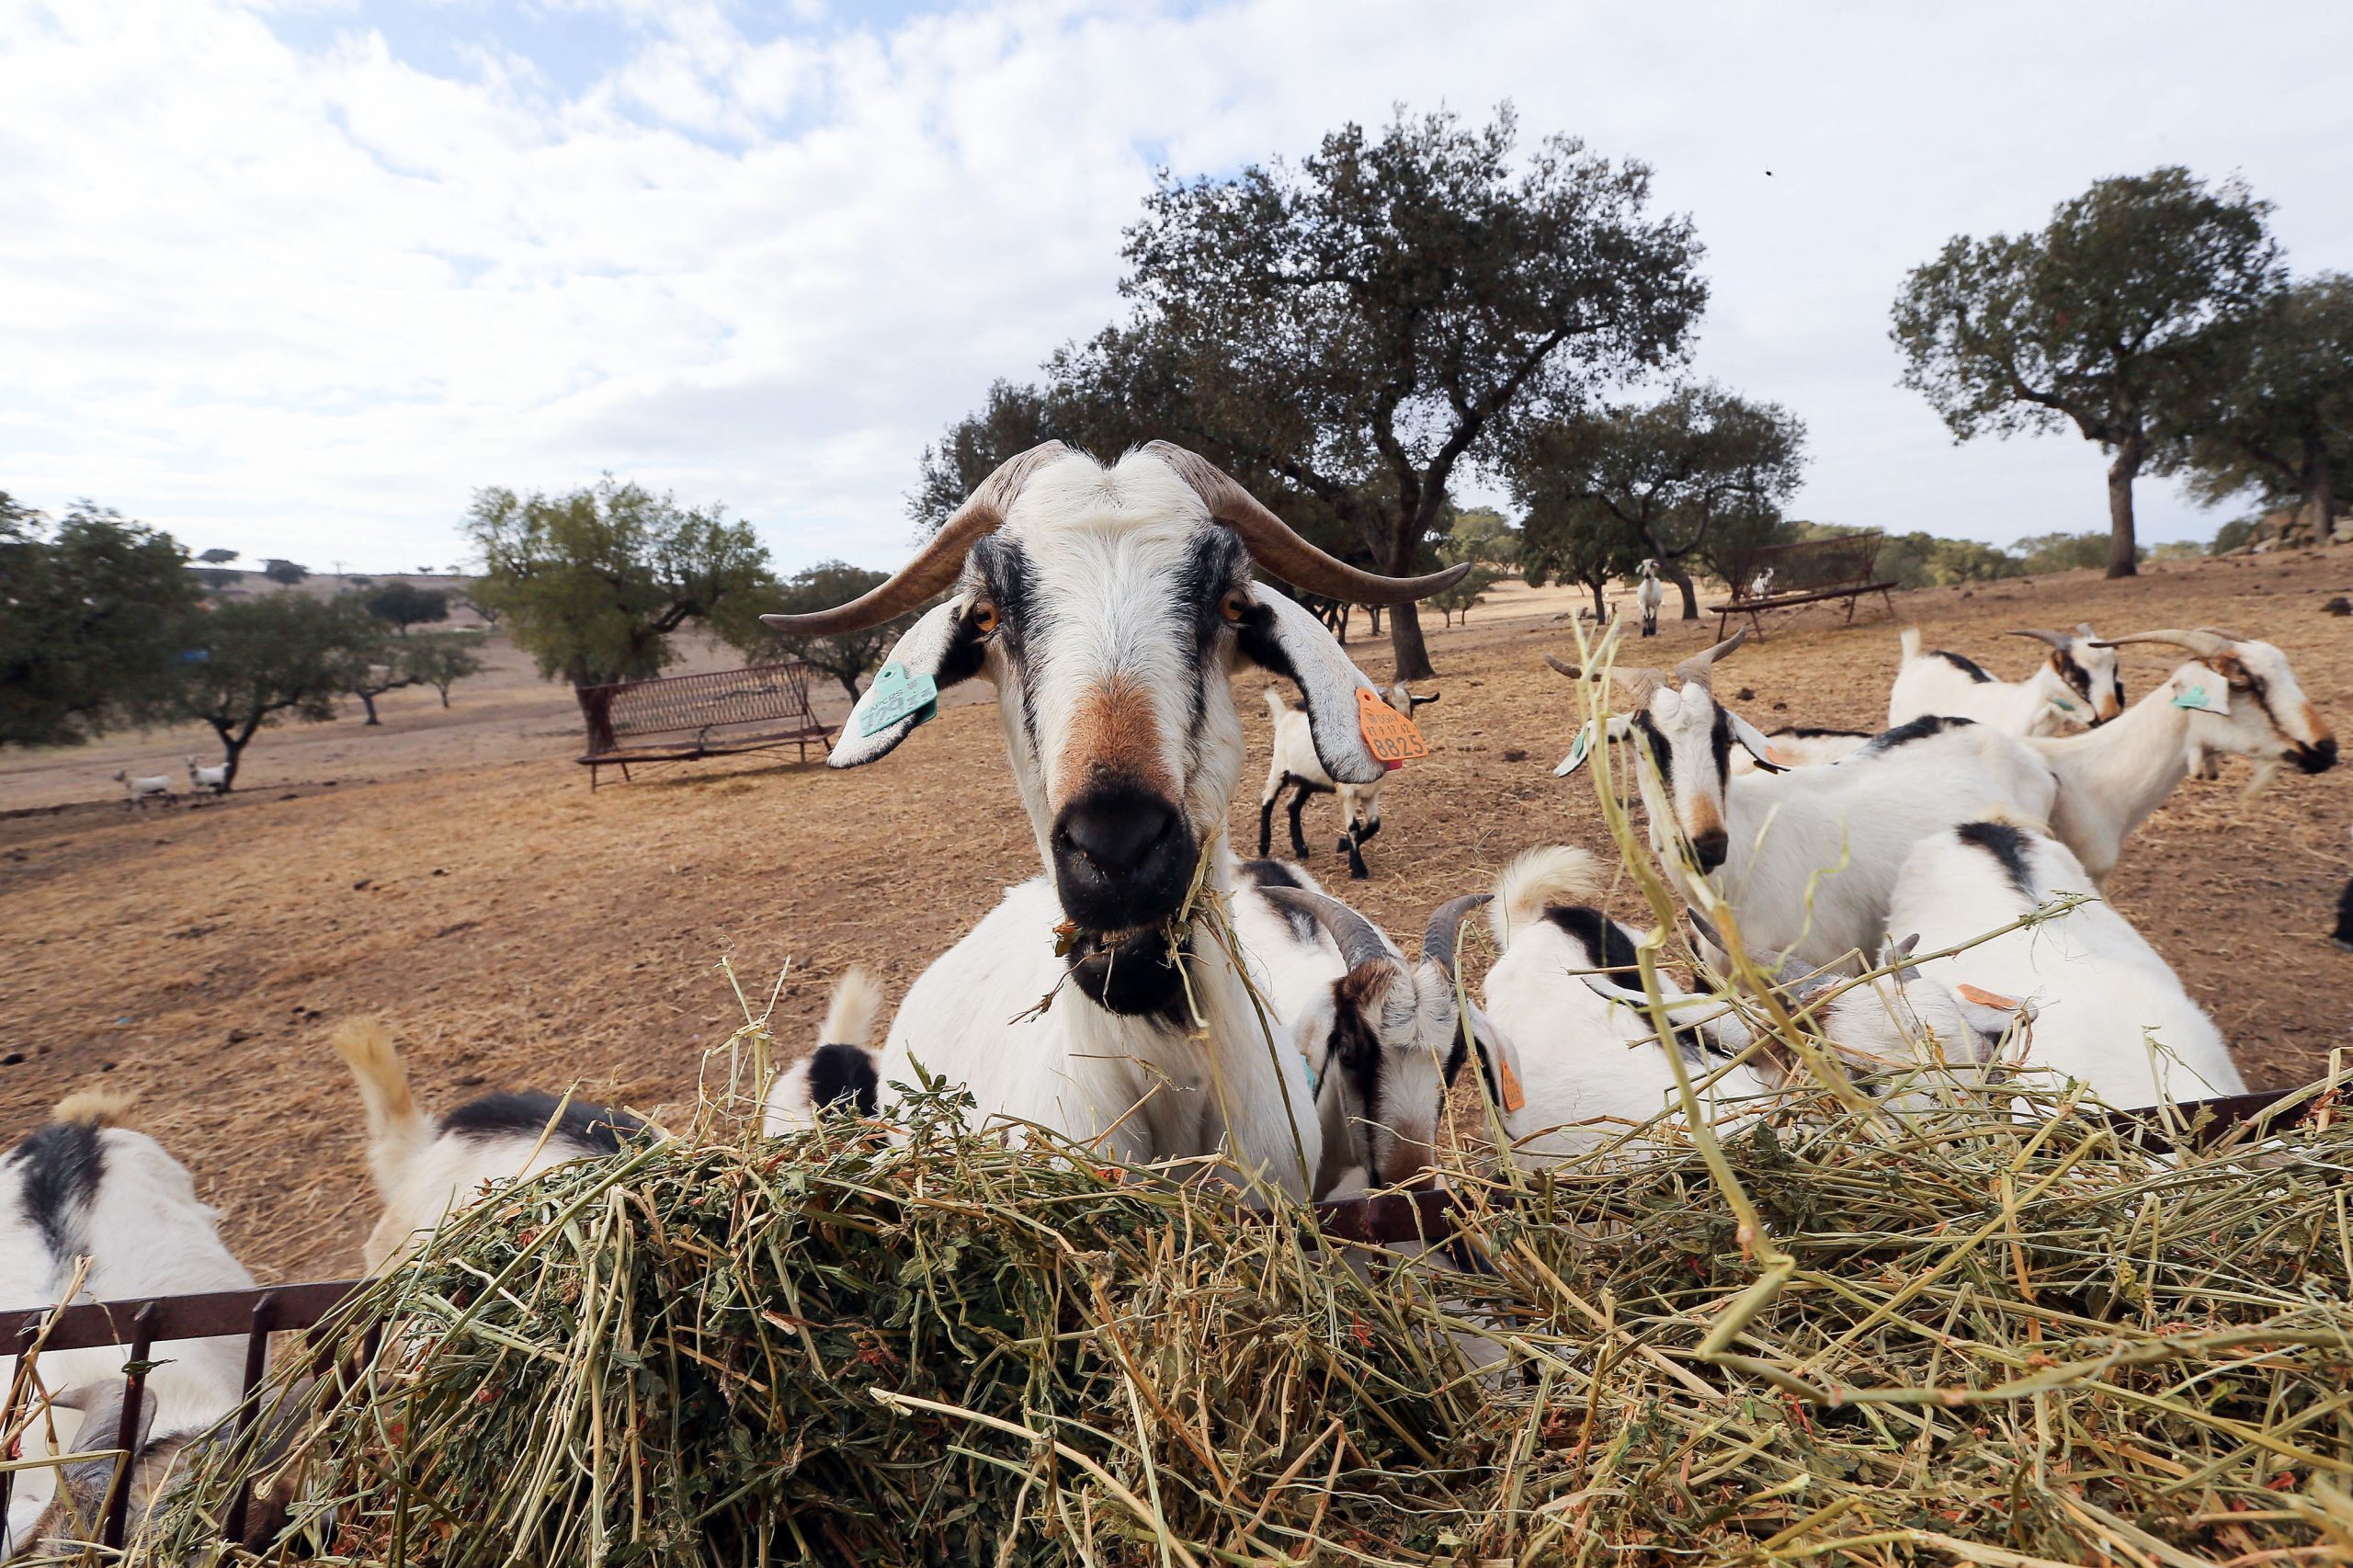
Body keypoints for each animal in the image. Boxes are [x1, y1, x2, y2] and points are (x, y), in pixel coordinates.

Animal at [1258, 683, 1437, 879]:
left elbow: (1374, 824)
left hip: (1308, 779)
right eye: (1386, 706)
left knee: (1293, 805)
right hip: (1279, 767)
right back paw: (1264, 846)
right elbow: (1354, 826)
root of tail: (1284, 715)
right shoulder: (1346, 792)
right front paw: (1358, 868)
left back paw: (1302, 849)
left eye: (1411, 706)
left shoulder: (1371, 793)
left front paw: (1343, 845)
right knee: (1268, 800)